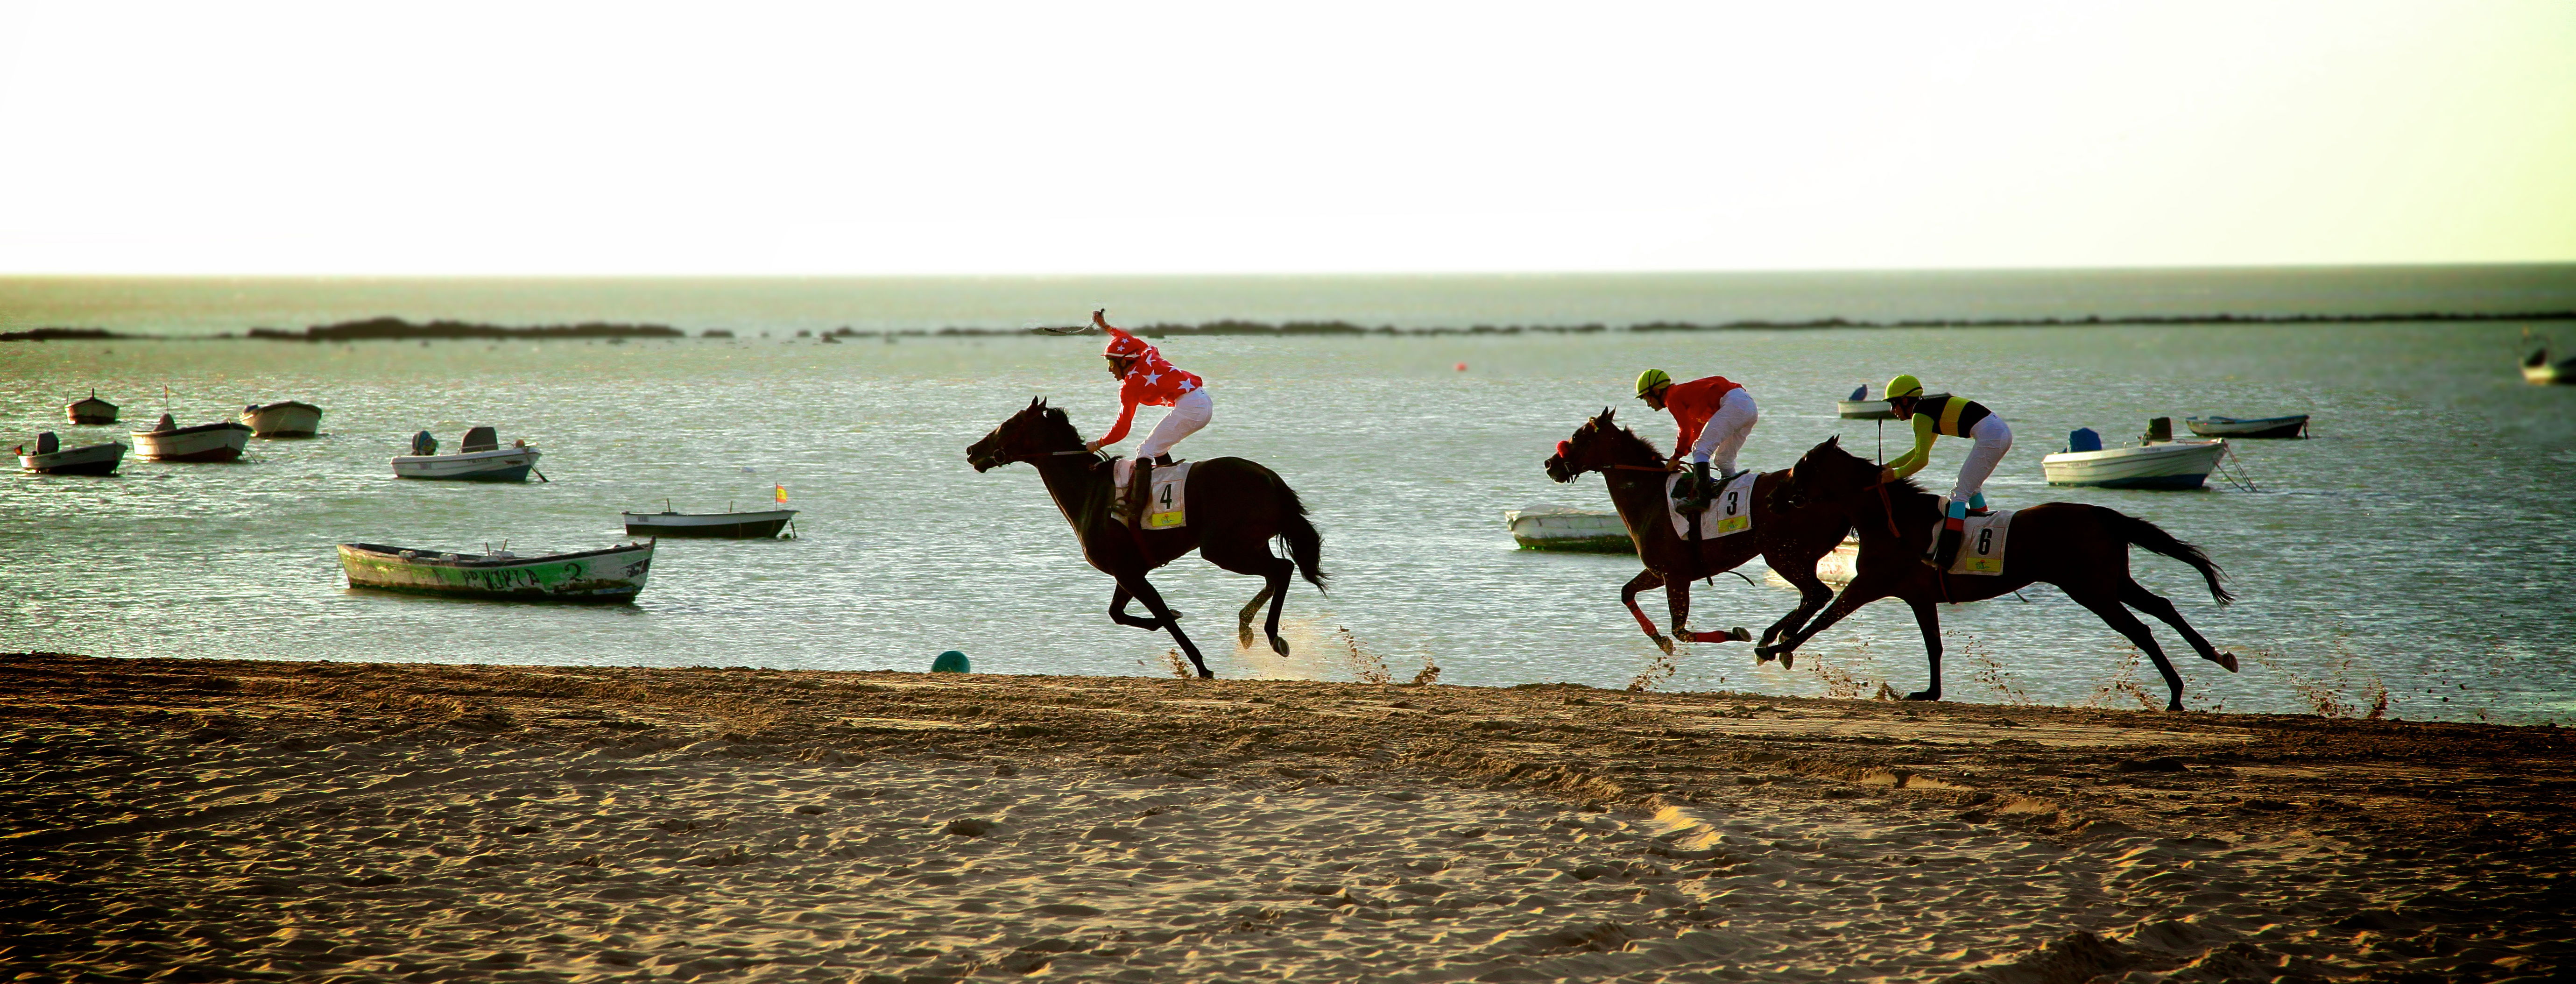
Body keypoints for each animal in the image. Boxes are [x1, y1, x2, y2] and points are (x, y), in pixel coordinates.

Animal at [968, 396, 1329, 680]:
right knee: (1275, 573)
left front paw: (1201, 666)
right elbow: (1120, 614)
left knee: (1281, 570)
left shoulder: (1129, 573)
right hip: (1247, 543)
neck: (1090, 491)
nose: (972, 451)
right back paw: (1247, 627)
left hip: (1222, 548)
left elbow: (1161, 616)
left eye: (1008, 425)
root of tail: (1270, 478)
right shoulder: (1128, 572)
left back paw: (1271, 636)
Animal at [1546, 407, 1855, 659]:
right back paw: (1777, 638)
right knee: (1810, 597)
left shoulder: (1675, 576)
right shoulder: (1661, 572)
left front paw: (1736, 633)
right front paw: (1659, 640)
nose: (1550, 464)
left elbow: (1680, 631)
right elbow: (1627, 593)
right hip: (1803, 556)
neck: (1651, 497)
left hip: (1783, 554)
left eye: (1577, 436)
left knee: (1817, 594)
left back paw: (1776, 642)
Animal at [1762, 435, 2246, 706]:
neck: (1891, 518)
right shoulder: (1918, 595)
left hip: (2090, 588)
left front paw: (1777, 648)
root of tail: (2100, 513)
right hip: (2112, 581)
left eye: (1800, 467)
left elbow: (1824, 618)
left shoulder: (1869, 583)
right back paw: (2211, 660)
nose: (1769, 498)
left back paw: (2176, 694)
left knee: (2140, 629)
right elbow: (1934, 646)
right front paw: (1929, 692)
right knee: (2162, 606)